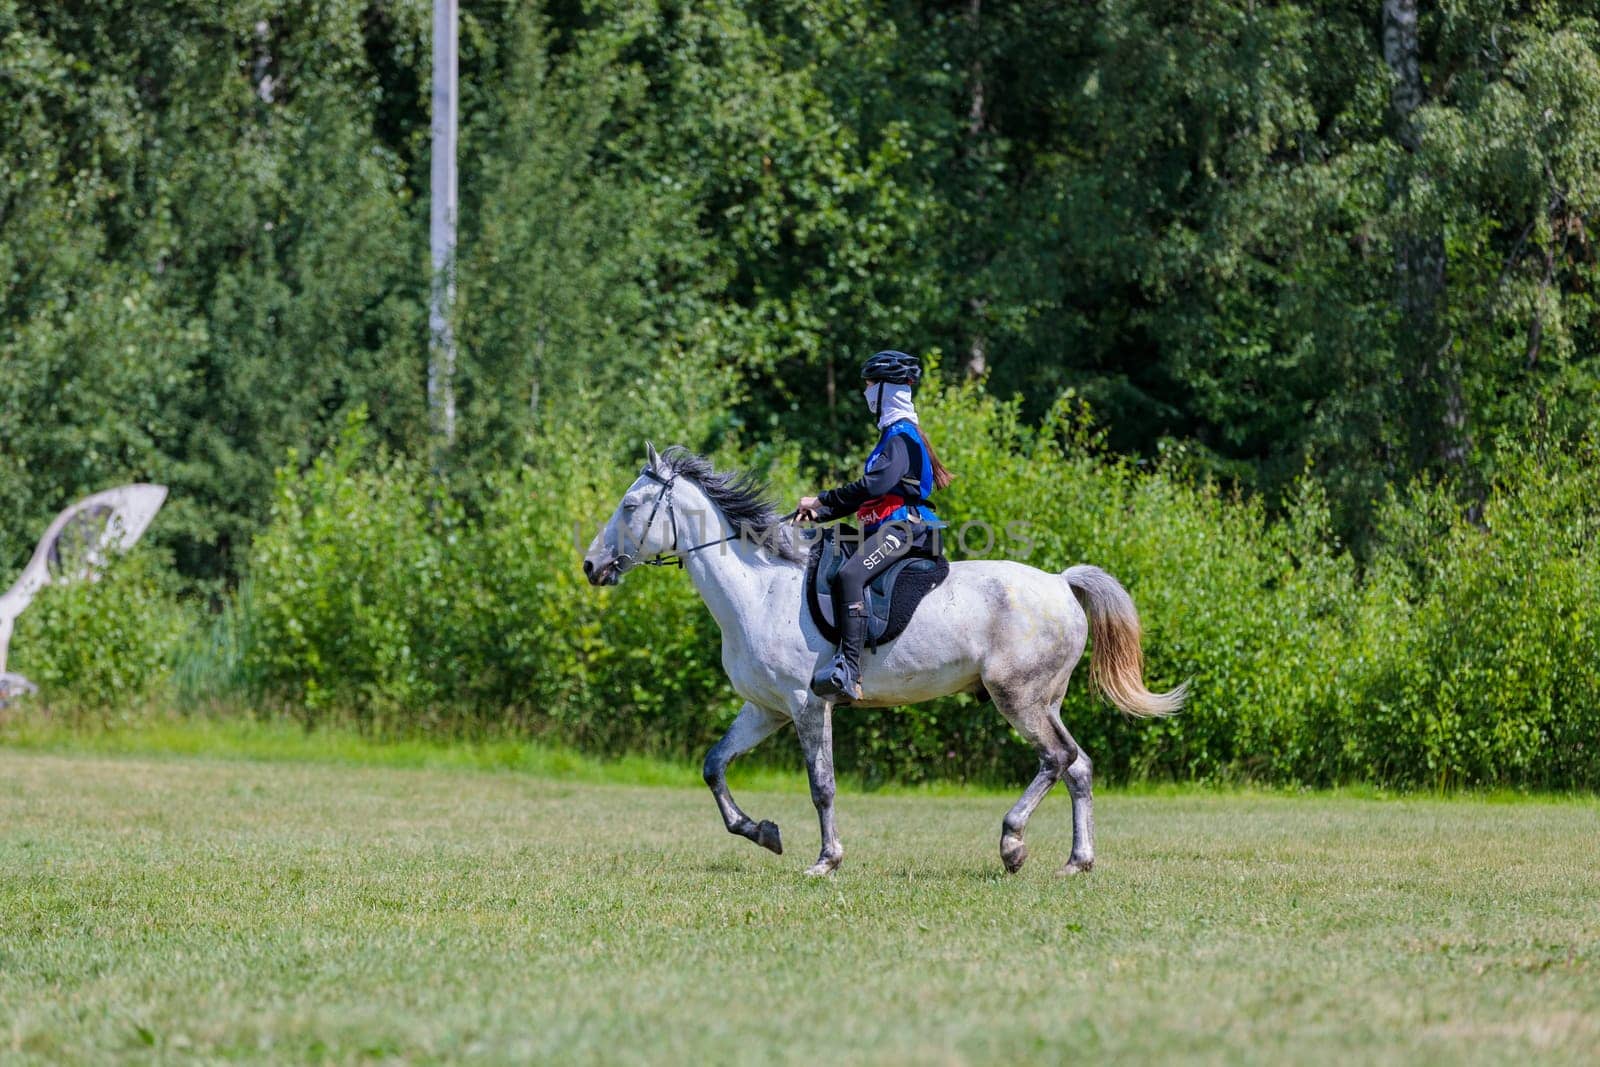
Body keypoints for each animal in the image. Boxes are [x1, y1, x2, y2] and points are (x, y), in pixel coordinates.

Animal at [582, 444, 1184, 876]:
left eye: (630, 506)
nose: (591, 566)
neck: (759, 589)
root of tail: (1062, 583)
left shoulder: (806, 704)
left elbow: (821, 785)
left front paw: (826, 861)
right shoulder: (766, 709)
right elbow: (713, 766)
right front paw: (763, 834)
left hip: (1018, 697)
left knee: (1056, 759)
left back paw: (1012, 844)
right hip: (1045, 700)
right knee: (1078, 766)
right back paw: (1077, 862)